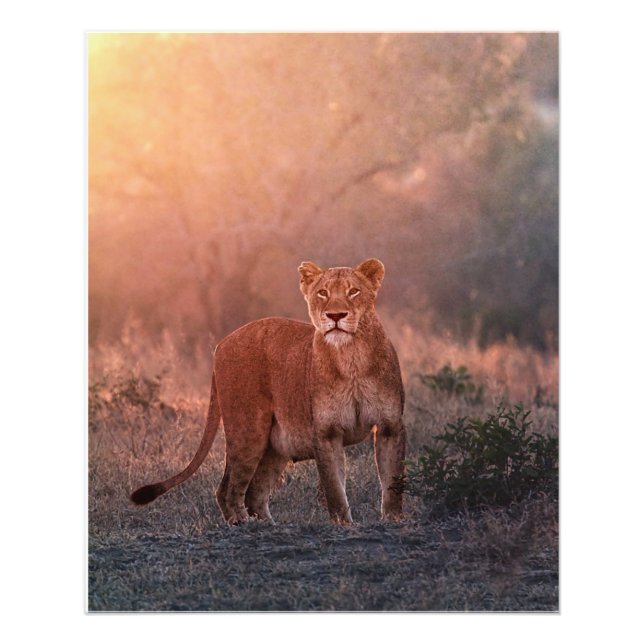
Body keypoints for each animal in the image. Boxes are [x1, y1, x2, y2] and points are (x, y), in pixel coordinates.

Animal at [130, 258, 406, 525]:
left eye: (354, 291)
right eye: (323, 293)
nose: (335, 315)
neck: (351, 359)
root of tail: (221, 344)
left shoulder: (390, 426)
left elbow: (393, 481)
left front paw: (393, 520)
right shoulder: (326, 433)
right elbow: (334, 489)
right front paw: (343, 524)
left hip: (275, 445)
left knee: (254, 493)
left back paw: (267, 523)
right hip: (249, 431)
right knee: (228, 489)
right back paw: (244, 524)